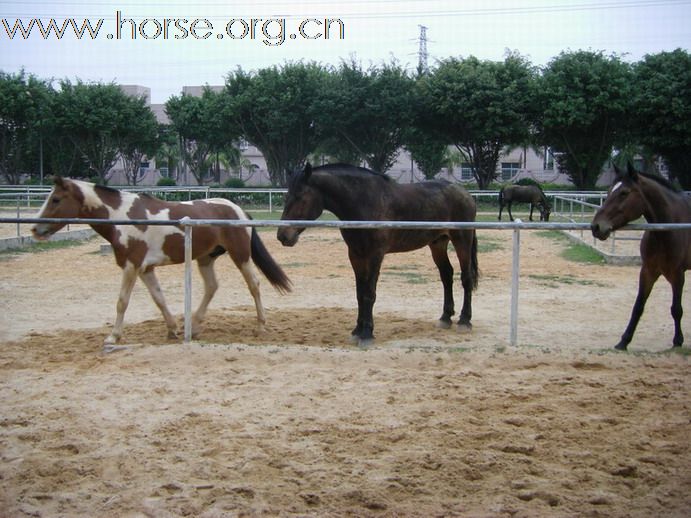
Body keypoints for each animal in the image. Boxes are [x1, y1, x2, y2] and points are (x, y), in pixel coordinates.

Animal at [31, 177, 292, 352]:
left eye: (55, 199)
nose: (35, 229)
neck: (123, 217)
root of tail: (237, 210)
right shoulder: (146, 269)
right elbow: (159, 298)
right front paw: (172, 329)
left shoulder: (132, 266)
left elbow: (122, 302)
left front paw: (113, 337)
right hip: (205, 258)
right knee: (211, 287)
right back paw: (194, 326)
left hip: (240, 255)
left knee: (254, 284)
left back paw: (260, 326)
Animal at [278, 165, 478, 348]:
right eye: (287, 196)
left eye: (300, 196)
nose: (283, 236)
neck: (365, 203)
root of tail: (465, 194)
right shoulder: (356, 255)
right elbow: (360, 293)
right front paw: (357, 331)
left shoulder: (375, 255)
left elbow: (369, 293)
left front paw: (367, 334)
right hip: (438, 243)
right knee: (447, 275)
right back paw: (445, 318)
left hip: (462, 240)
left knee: (466, 278)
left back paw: (464, 320)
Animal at [588, 166, 691, 354]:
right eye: (608, 191)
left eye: (624, 193)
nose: (596, 227)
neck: (666, 229)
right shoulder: (648, 271)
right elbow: (638, 307)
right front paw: (623, 341)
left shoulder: (677, 274)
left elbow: (676, 309)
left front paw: (678, 341)